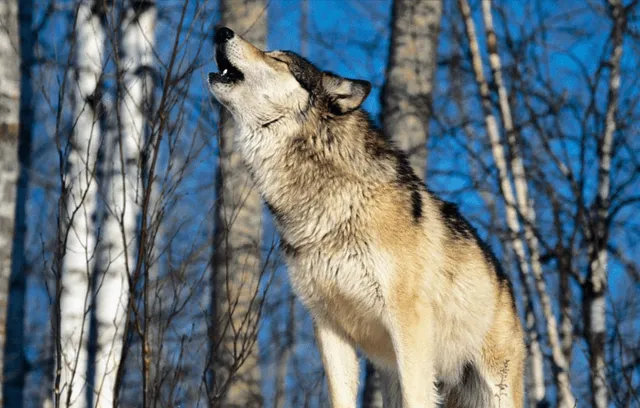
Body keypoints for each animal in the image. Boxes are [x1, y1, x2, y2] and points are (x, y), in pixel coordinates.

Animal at [208, 27, 524, 406]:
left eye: (278, 59)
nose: (221, 31)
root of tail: (506, 285)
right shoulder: (328, 326)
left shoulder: (408, 321)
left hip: (494, 386)